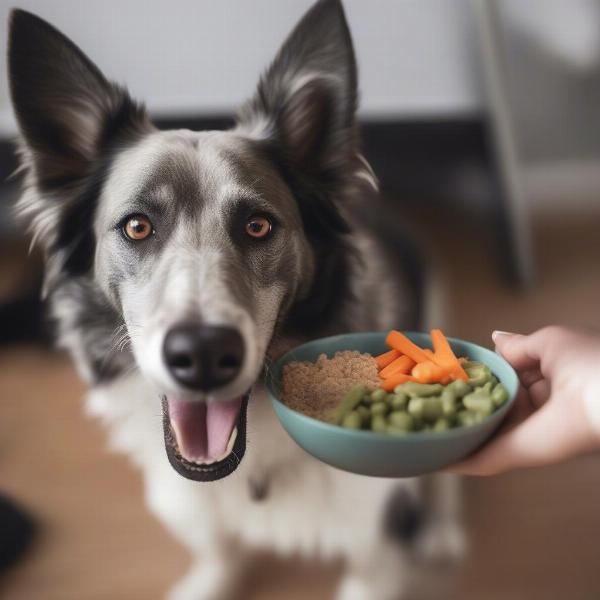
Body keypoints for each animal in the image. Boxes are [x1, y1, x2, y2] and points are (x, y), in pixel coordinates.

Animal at [7, 2, 464, 596]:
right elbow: (217, 550)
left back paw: (442, 529)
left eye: (257, 225)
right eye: (136, 226)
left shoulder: (374, 542)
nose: (202, 354)